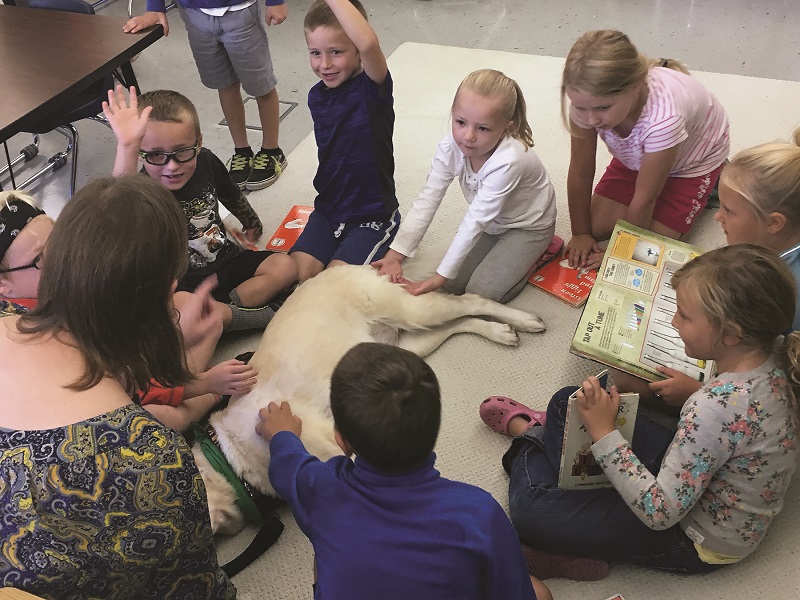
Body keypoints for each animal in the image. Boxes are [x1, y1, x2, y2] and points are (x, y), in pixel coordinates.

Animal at [195, 264, 544, 532]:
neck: (227, 453)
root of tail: (346, 266)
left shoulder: (329, 449)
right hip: (412, 344)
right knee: (460, 322)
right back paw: (499, 332)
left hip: (411, 310)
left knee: (471, 300)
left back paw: (524, 320)